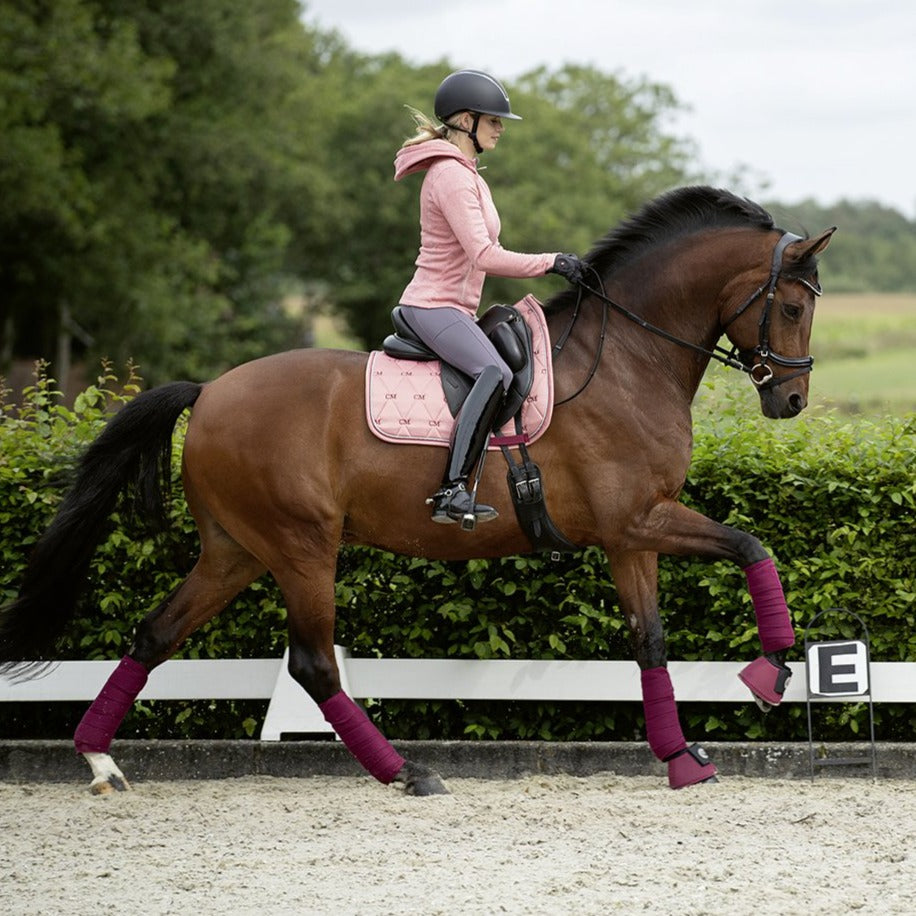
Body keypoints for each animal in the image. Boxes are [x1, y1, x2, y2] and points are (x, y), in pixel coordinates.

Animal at [0, 186, 834, 795]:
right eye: (793, 307)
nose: (791, 401)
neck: (629, 355)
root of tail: (208, 393)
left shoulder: (630, 535)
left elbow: (651, 639)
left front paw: (682, 757)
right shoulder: (638, 520)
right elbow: (750, 546)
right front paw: (770, 672)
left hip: (236, 549)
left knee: (156, 633)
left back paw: (100, 760)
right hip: (302, 546)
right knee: (313, 663)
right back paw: (408, 771)